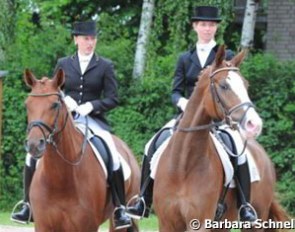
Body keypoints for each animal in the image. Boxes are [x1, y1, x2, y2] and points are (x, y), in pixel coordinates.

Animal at [23, 70, 141, 232]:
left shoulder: (87, 226)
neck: (60, 180)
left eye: (55, 105)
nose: (34, 145)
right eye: (27, 104)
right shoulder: (43, 226)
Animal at [154, 46, 290, 231]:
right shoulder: (167, 223)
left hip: (257, 218)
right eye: (224, 86)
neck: (182, 166)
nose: (254, 125)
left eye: (246, 85)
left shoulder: (200, 222)